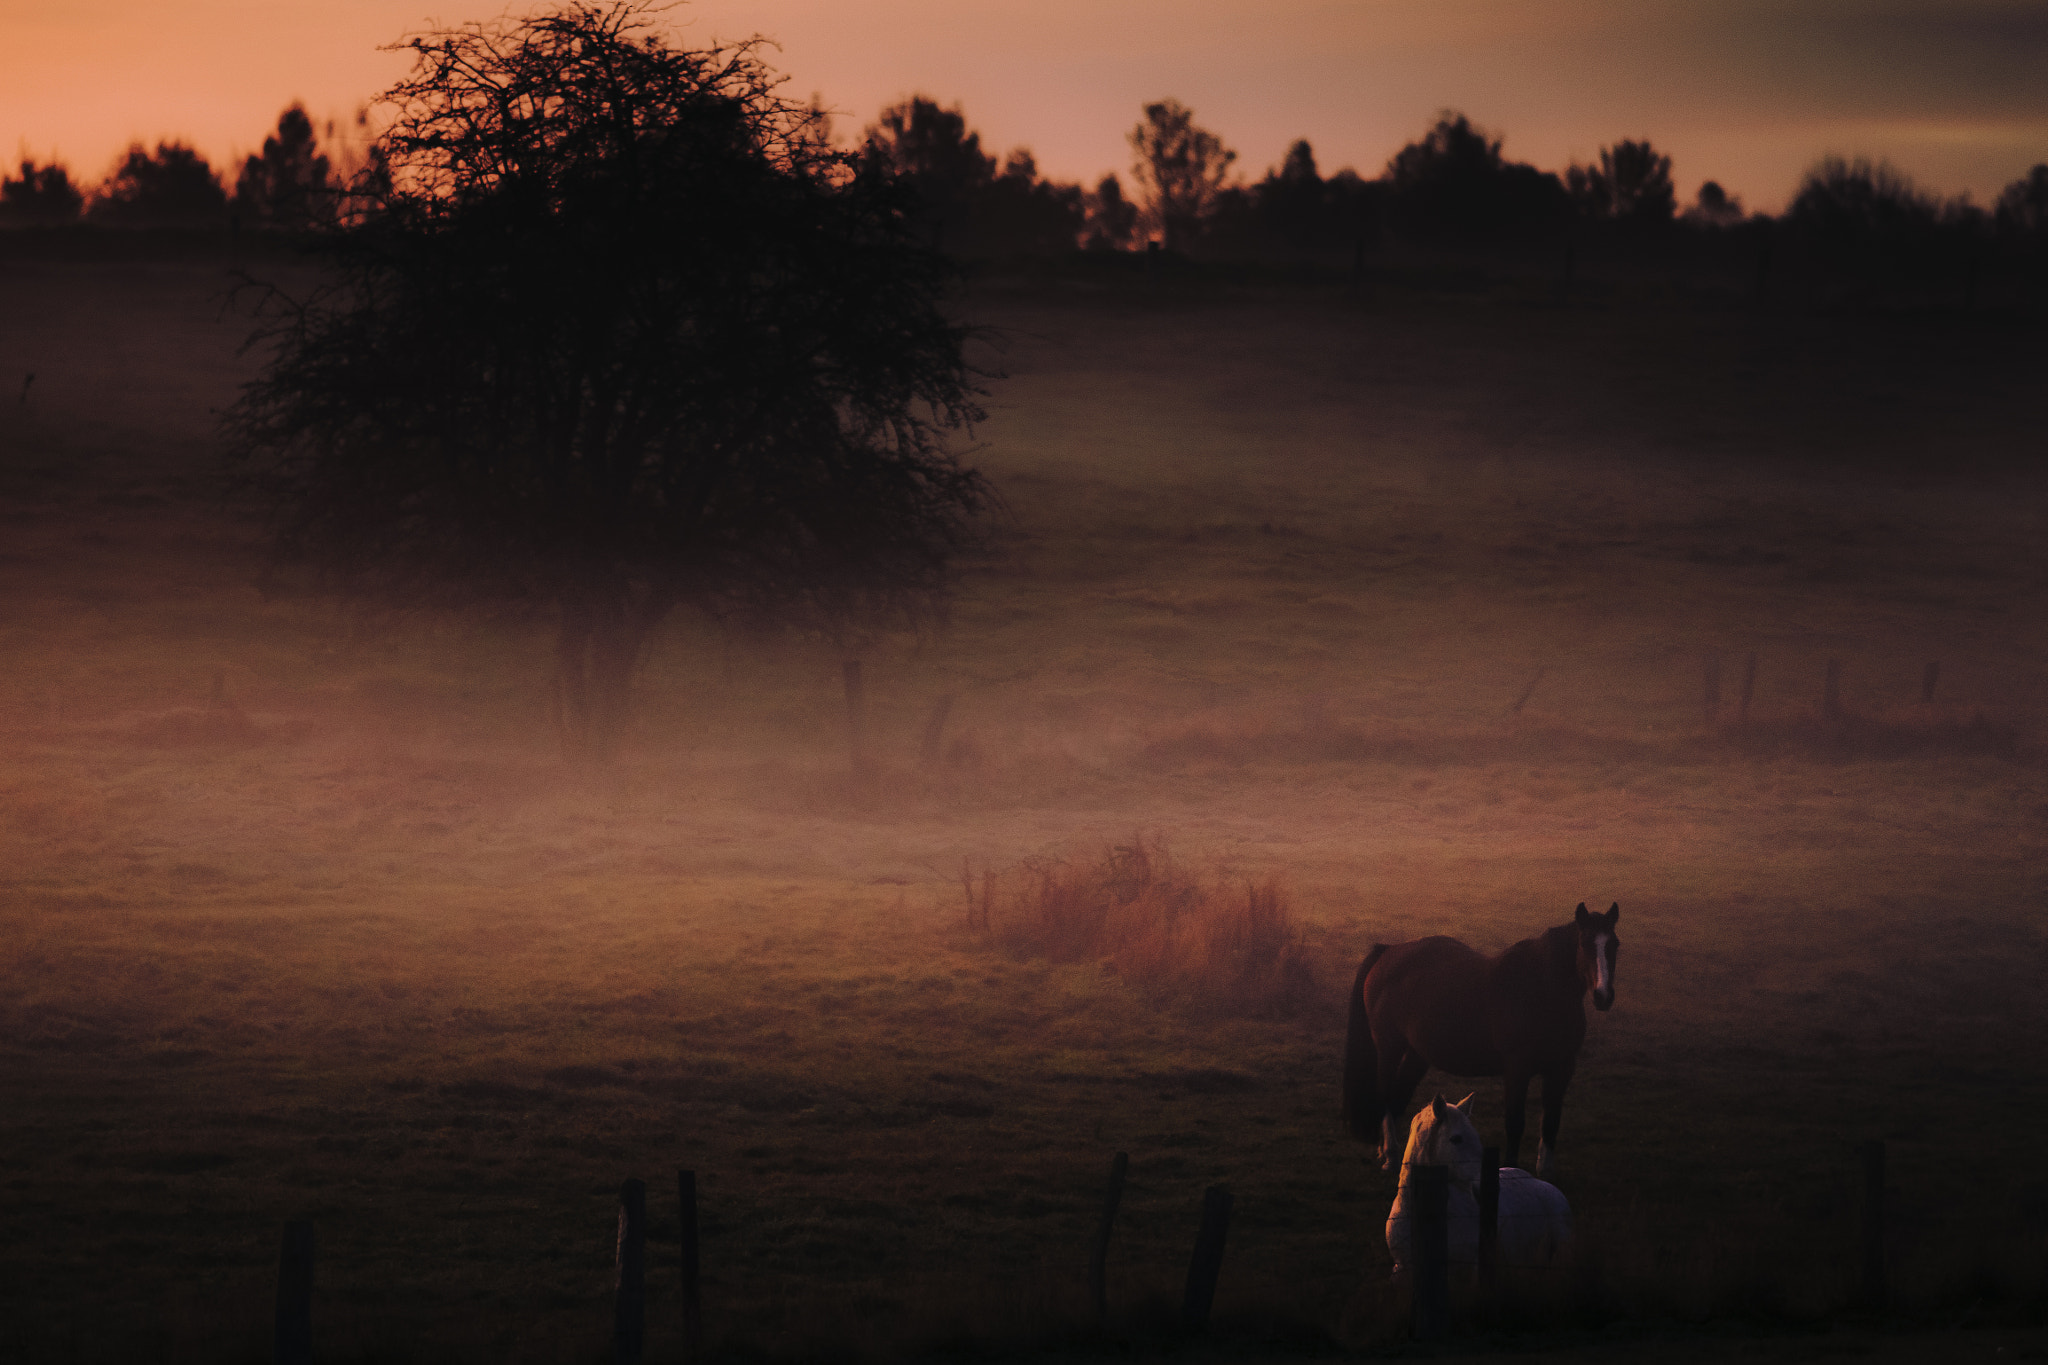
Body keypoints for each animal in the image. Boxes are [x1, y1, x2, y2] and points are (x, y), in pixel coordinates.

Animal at [1343, 900, 1613, 1178]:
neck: (1540, 989)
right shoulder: (1517, 1069)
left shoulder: (1562, 1069)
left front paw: (1545, 1174)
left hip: (1417, 1054)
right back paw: (1391, 1157)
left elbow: (1551, 1122)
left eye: (1614, 944)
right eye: (1585, 943)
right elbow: (1515, 1122)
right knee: (1385, 1096)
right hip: (1389, 1048)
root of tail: (1388, 952)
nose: (1603, 995)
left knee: (1398, 1095)